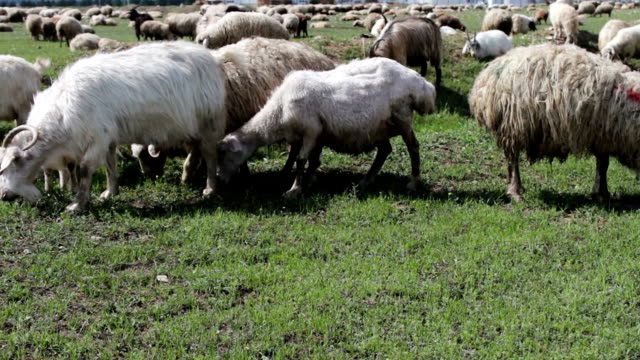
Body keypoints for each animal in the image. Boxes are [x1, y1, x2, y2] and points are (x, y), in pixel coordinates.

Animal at [0, 42, 231, 212]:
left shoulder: (97, 138)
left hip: (209, 125)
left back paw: (210, 188)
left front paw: (77, 205)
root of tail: (214, 59)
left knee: (211, 156)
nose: (4, 196)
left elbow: (85, 170)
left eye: (12, 165)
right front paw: (110, 192)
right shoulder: (108, 137)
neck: (62, 111)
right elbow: (110, 165)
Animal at [468, 43, 640, 201]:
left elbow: (603, 164)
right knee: (513, 159)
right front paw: (602, 194)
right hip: (513, 125)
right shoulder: (603, 134)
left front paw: (601, 193)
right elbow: (603, 165)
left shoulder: (602, 137)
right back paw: (515, 191)